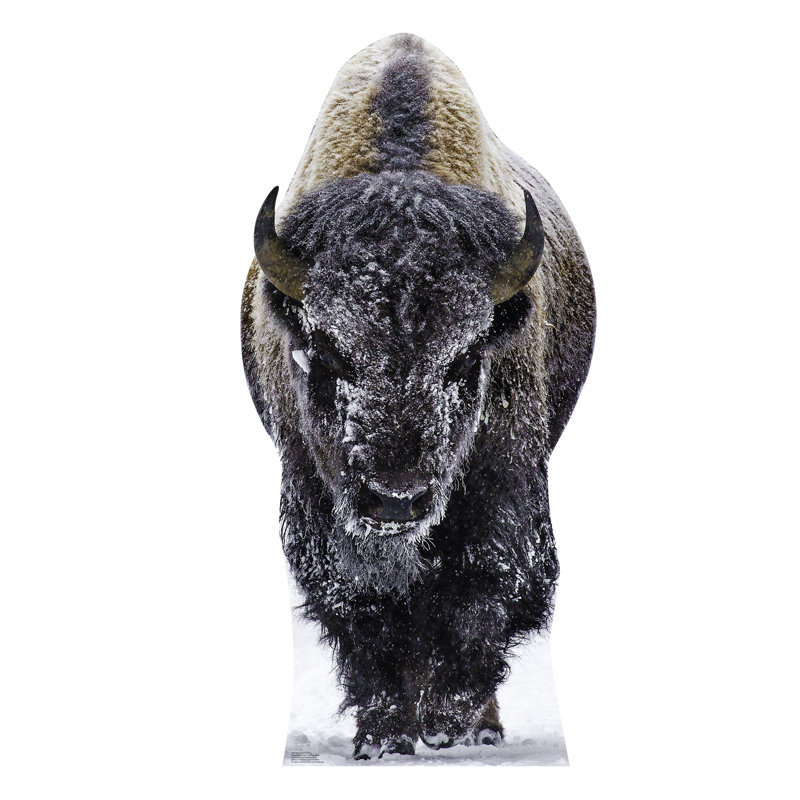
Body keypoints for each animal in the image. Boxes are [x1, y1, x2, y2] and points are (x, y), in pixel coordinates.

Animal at [241, 33, 595, 760]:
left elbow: (480, 595)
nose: (396, 500)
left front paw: (448, 721)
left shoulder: (505, 491)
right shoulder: (317, 503)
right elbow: (365, 614)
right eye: (327, 353)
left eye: (464, 358)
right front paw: (383, 736)